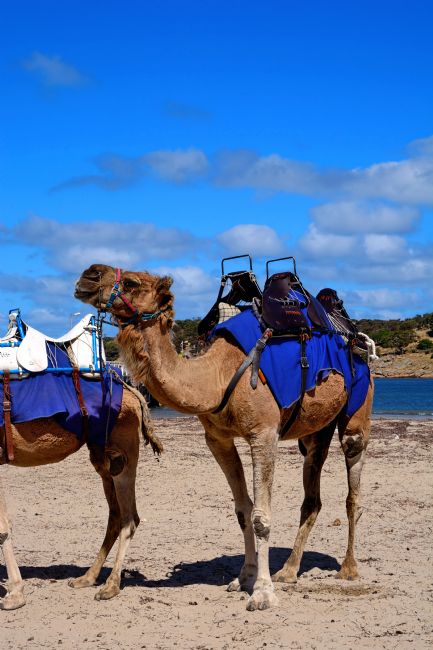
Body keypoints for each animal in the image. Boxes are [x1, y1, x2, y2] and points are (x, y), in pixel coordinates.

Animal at [0, 381, 162, 610]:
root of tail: (132, 391)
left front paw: (14, 595)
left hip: (123, 450)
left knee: (129, 519)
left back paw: (110, 586)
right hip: (102, 458)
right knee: (116, 515)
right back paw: (87, 578)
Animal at [75, 264, 373, 612]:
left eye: (133, 282)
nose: (88, 275)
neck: (216, 376)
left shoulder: (264, 433)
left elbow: (260, 517)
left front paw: (262, 593)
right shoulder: (217, 439)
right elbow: (243, 510)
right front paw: (244, 578)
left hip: (358, 406)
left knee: (353, 487)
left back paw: (348, 568)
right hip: (316, 429)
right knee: (312, 491)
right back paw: (288, 571)